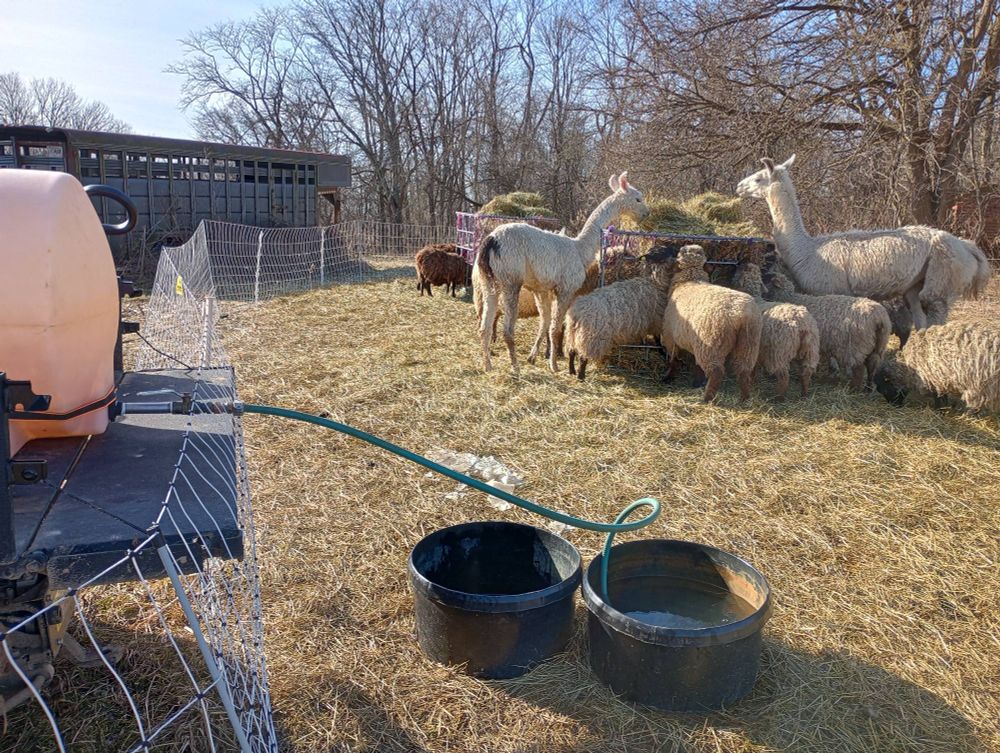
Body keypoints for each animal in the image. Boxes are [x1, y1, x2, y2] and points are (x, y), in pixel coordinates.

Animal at [477, 172, 650, 374]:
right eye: (638, 198)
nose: (647, 213)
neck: (580, 249)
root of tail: (490, 241)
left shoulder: (541, 289)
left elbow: (545, 322)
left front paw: (533, 357)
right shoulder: (566, 289)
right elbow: (556, 328)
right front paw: (554, 365)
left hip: (489, 283)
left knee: (484, 327)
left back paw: (488, 366)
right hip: (511, 282)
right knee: (507, 330)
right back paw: (515, 368)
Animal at [656, 245, 762, 402]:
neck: (690, 279)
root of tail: (740, 315)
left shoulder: (670, 337)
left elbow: (674, 360)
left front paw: (668, 377)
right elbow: (695, 364)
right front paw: (697, 382)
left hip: (711, 344)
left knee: (716, 371)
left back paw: (706, 398)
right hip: (749, 343)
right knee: (743, 370)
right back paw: (744, 398)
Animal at [732, 262, 820, 399]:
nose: (739, 263)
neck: (755, 298)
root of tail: (801, 324)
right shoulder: (758, 349)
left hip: (779, 351)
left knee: (784, 376)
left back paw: (778, 397)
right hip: (811, 349)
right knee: (806, 372)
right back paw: (804, 393)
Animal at [736, 155, 991, 329]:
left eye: (758, 178)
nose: (738, 186)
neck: (806, 249)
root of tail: (966, 246)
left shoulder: (829, 291)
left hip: (942, 282)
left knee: (936, 314)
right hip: (916, 285)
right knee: (920, 318)